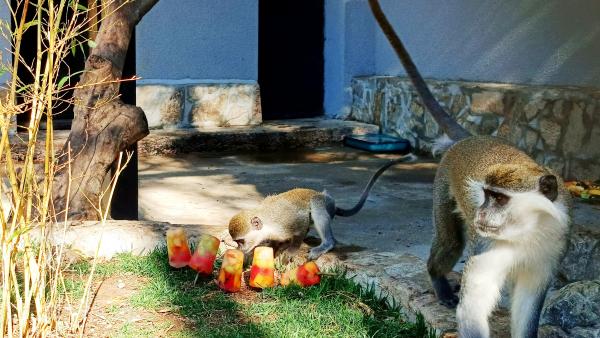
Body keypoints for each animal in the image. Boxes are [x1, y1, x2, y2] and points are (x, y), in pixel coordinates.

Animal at [227, 154, 414, 262]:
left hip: (325, 201)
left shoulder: (287, 223)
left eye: (240, 241)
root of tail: (332, 203)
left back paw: (326, 243)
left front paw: (290, 250)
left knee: (317, 207)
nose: (240, 249)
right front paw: (275, 247)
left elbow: (300, 228)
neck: (267, 223)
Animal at [366, 1, 572, 336]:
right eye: (486, 195)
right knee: (451, 241)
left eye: (499, 199)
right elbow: (475, 302)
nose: (481, 215)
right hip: (442, 186)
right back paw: (437, 278)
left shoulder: (553, 244)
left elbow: (529, 302)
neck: (527, 231)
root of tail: (471, 138)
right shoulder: (489, 244)